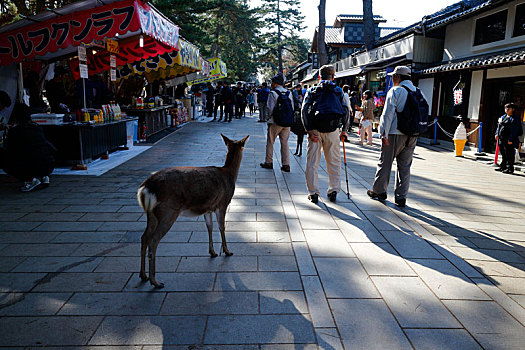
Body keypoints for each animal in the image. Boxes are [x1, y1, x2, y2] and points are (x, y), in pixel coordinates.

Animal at [137, 134, 248, 288]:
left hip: (151, 214)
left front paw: (212, 252)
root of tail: (145, 188)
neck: (229, 174)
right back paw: (155, 281)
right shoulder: (222, 204)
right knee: (153, 240)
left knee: (144, 237)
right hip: (167, 212)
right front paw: (227, 251)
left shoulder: (208, 208)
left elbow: (209, 227)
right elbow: (222, 227)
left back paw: (143, 275)